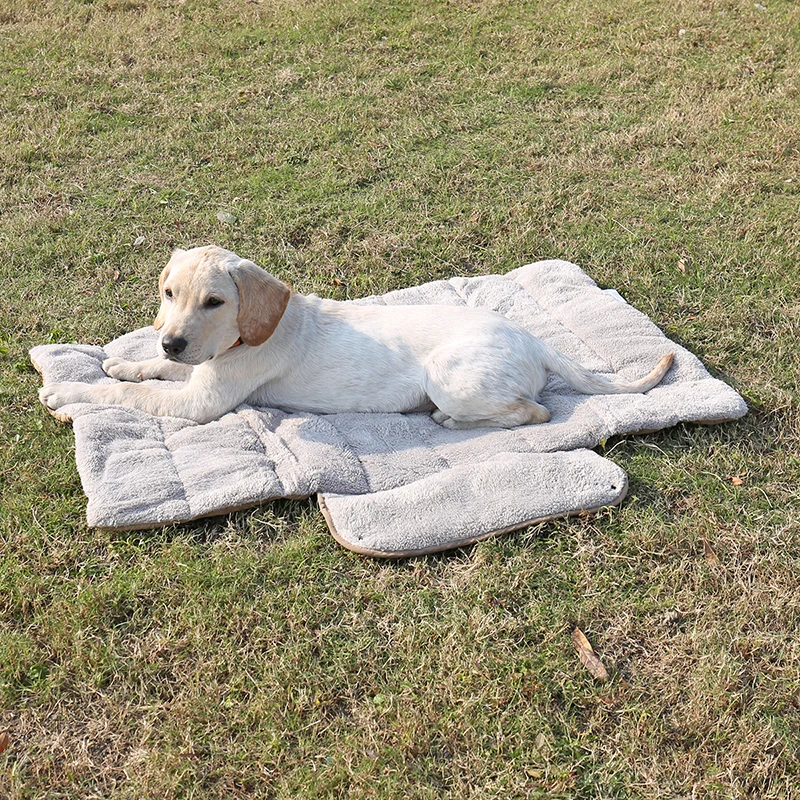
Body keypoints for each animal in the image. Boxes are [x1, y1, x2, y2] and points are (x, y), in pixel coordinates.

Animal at [39, 245, 676, 428]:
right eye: (169, 293)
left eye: (215, 302)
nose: (169, 338)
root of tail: (533, 339)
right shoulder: (198, 368)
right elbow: (154, 374)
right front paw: (124, 363)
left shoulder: (202, 402)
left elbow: (133, 396)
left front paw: (68, 392)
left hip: (452, 379)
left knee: (534, 413)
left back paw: (451, 422)